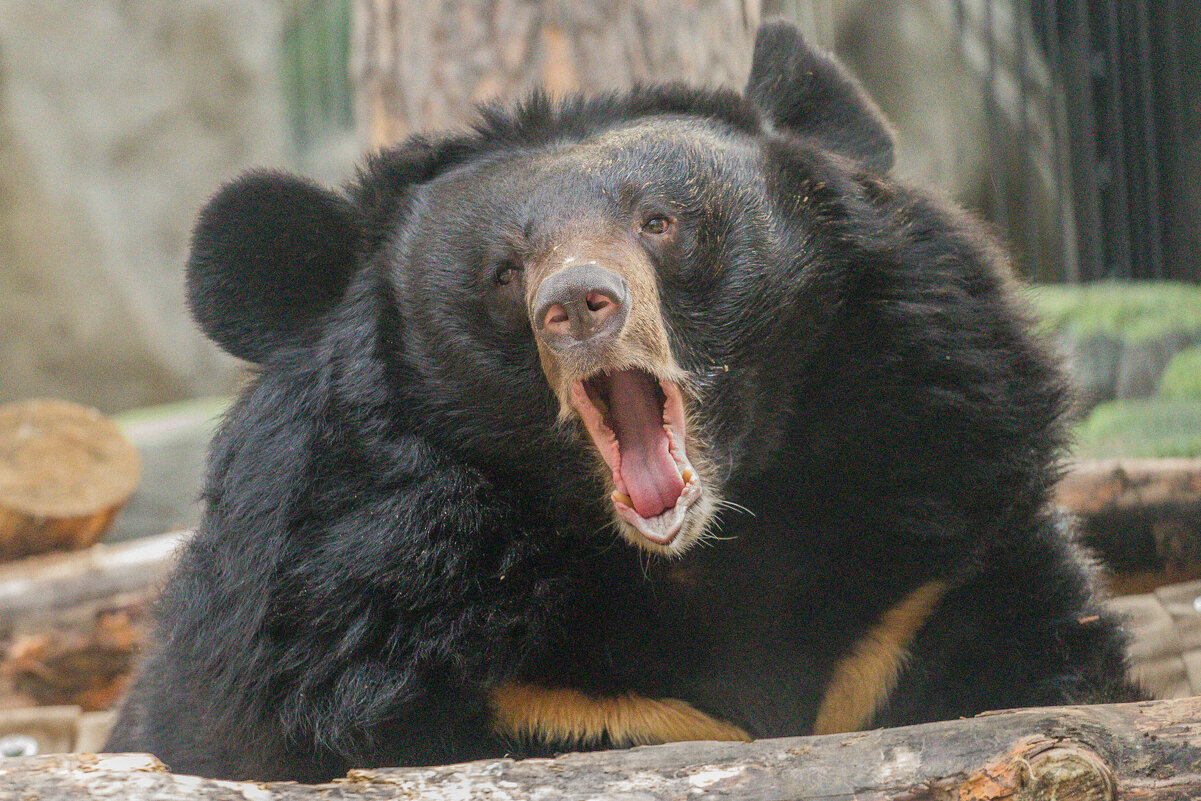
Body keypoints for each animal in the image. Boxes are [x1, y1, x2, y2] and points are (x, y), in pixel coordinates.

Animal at [105, 20, 1143, 782]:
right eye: (504, 271)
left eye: (658, 221)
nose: (577, 304)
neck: (701, 563)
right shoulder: (402, 641)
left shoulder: (911, 599)